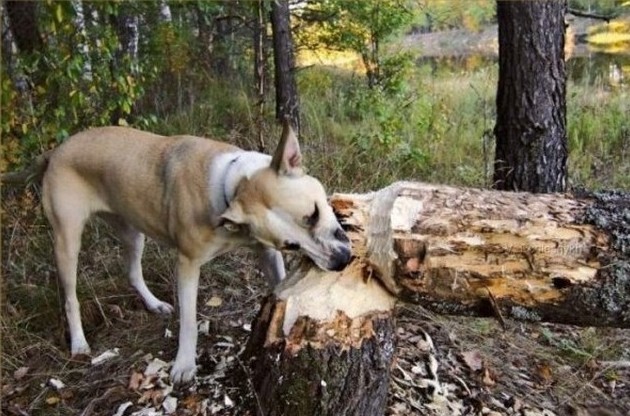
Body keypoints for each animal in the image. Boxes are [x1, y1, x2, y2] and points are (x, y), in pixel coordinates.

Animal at [42, 118, 354, 382]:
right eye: (291, 243)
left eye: (314, 213)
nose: (342, 261)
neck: (232, 186)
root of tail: (55, 151)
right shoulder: (188, 264)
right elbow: (190, 321)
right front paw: (184, 364)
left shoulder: (265, 251)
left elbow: (279, 283)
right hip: (67, 240)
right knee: (70, 297)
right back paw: (79, 343)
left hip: (132, 231)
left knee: (131, 271)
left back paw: (154, 304)